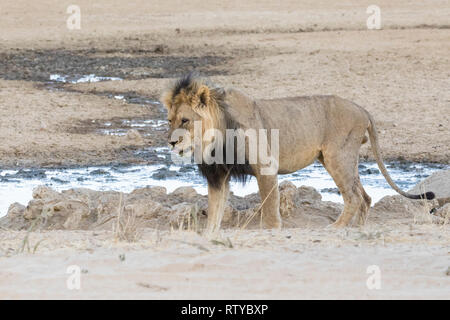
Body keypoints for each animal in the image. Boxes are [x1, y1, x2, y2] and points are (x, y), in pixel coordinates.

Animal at [160, 75, 434, 235]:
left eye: (185, 120)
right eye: (170, 120)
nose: (171, 142)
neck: (217, 134)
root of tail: (362, 109)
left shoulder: (266, 166)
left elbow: (270, 207)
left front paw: (272, 231)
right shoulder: (219, 175)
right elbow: (215, 210)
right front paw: (209, 235)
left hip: (337, 157)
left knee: (355, 197)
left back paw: (336, 227)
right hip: (340, 159)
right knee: (365, 196)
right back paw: (357, 228)